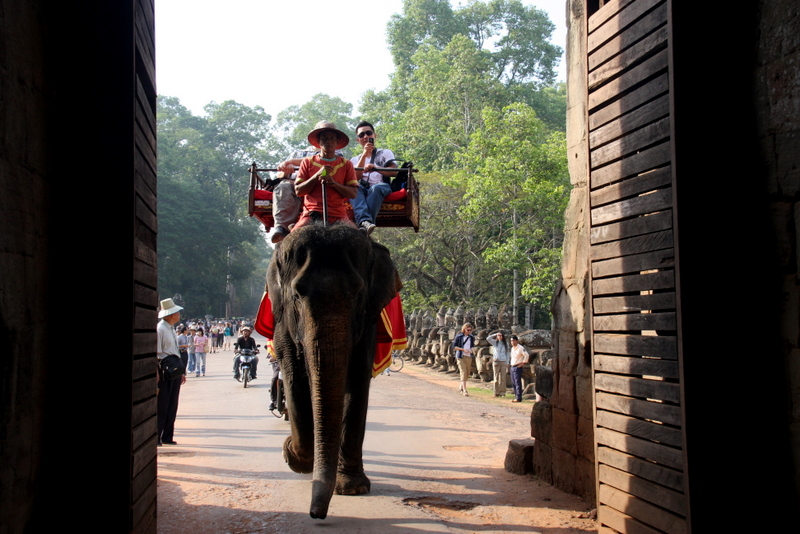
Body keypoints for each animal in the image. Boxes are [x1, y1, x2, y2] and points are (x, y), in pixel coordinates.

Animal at [268, 221, 404, 520]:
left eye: (357, 293)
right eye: (297, 294)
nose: (316, 514)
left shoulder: (369, 322)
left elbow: (357, 378)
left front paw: (352, 488)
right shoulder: (283, 321)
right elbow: (293, 375)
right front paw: (292, 455)